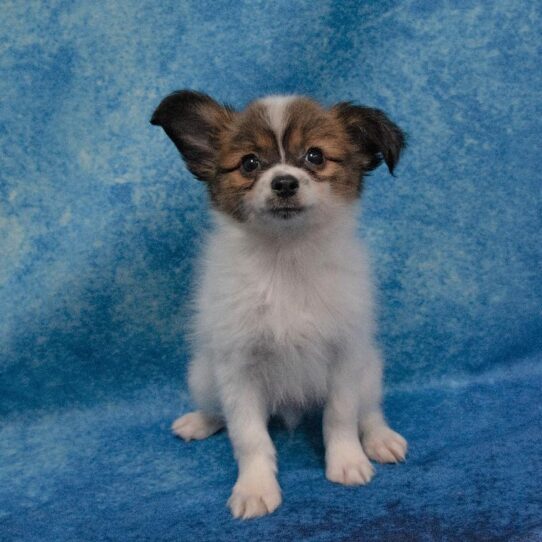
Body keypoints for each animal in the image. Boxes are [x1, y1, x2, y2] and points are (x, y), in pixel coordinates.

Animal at [152, 91, 408, 520]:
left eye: (315, 156)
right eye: (250, 163)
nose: (284, 182)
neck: (285, 258)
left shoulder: (345, 354)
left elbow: (340, 416)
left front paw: (347, 463)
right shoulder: (237, 367)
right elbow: (248, 436)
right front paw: (255, 488)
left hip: (370, 368)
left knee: (368, 409)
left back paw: (380, 439)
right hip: (202, 375)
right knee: (217, 409)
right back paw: (200, 421)